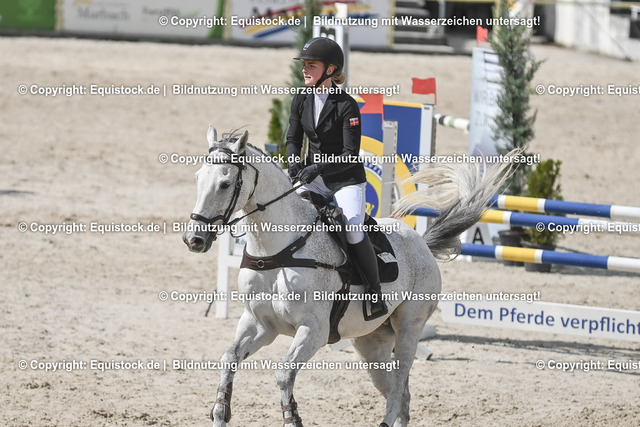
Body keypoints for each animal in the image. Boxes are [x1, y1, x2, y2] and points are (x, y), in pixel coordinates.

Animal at [182, 126, 510, 427]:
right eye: (197, 178)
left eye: (225, 183)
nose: (194, 239)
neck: (280, 250)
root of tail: (422, 244)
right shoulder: (260, 325)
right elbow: (229, 360)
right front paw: (220, 413)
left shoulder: (313, 330)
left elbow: (284, 374)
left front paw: (292, 418)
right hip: (371, 345)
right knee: (399, 393)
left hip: (409, 328)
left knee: (400, 384)